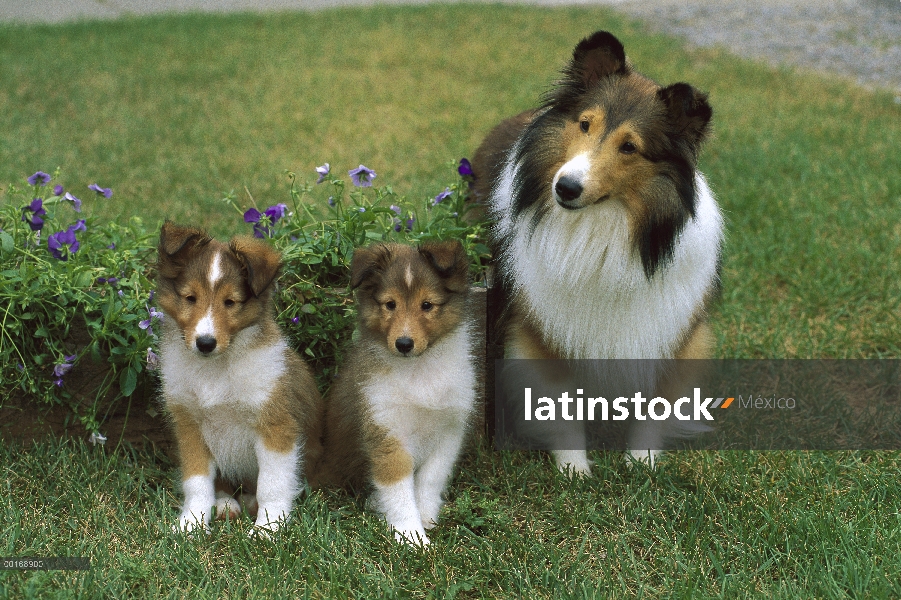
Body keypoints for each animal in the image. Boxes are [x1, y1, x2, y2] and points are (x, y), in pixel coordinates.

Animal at [156, 221, 324, 536]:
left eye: (230, 302)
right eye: (190, 298)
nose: (205, 343)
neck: (215, 370)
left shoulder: (276, 425)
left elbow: (273, 484)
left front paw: (268, 529)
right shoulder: (190, 425)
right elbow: (197, 482)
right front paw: (191, 523)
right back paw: (225, 505)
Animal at [312, 241, 474, 548]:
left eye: (427, 305)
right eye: (390, 304)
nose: (404, 343)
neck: (418, 370)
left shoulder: (449, 429)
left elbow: (431, 479)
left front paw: (427, 517)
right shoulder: (386, 430)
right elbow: (399, 491)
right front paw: (412, 537)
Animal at [472, 31, 724, 474]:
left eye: (630, 146)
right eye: (585, 124)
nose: (566, 187)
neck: (601, 231)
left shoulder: (667, 332)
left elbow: (654, 408)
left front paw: (642, 467)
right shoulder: (542, 332)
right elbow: (560, 409)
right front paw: (574, 471)